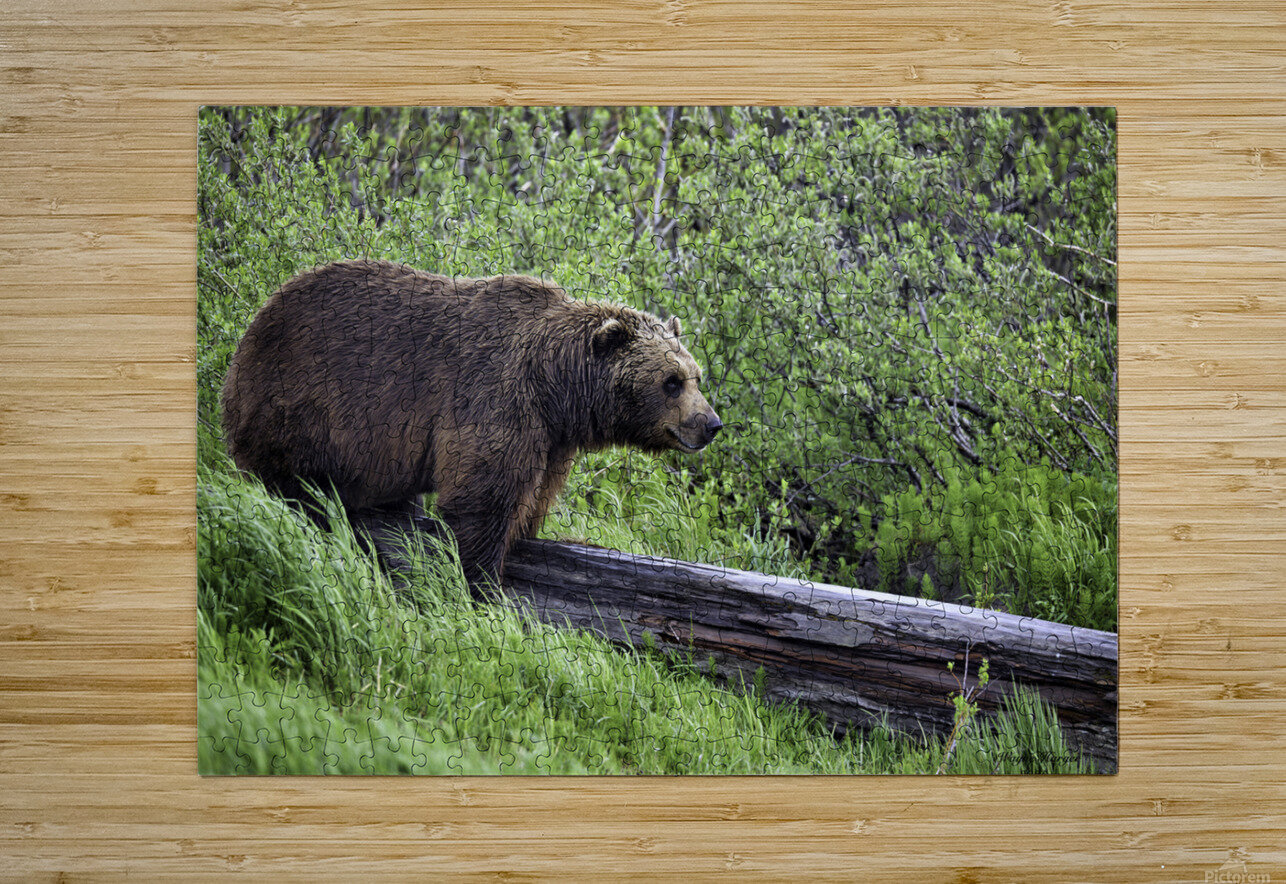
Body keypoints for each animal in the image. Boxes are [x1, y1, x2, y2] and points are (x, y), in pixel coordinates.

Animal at [220, 259, 722, 586]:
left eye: (696, 376)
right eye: (671, 382)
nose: (711, 423)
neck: (556, 385)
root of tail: (253, 328)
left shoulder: (552, 436)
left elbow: (533, 495)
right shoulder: (495, 397)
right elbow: (482, 497)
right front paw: (480, 579)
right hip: (301, 401)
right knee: (295, 481)